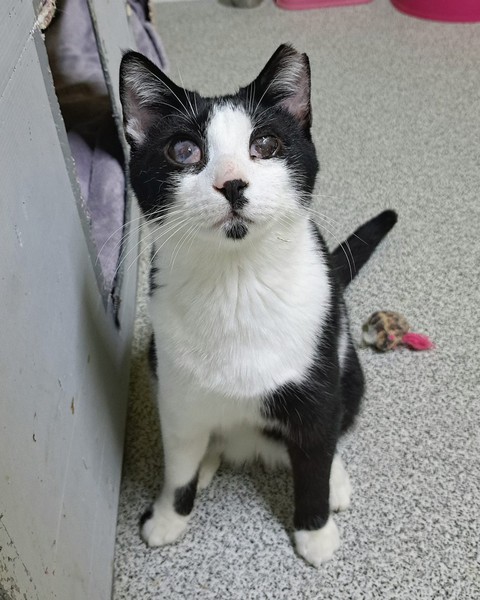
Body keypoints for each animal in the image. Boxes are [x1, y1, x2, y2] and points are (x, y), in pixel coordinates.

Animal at [119, 44, 397, 567]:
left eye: (265, 144)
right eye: (183, 151)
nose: (232, 183)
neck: (238, 282)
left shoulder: (314, 389)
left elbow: (315, 455)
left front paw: (314, 530)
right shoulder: (178, 394)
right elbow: (178, 463)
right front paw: (168, 516)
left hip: (346, 369)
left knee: (336, 426)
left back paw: (336, 481)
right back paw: (210, 459)